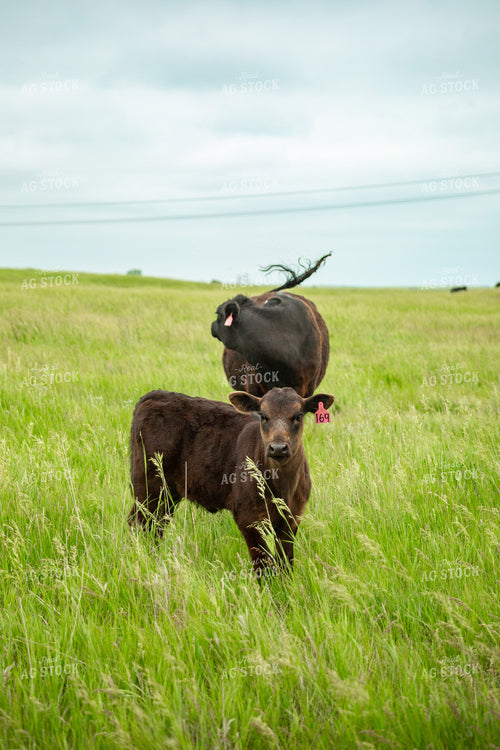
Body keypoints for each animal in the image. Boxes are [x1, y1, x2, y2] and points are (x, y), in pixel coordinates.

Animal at [128, 387, 334, 575]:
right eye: (263, 416)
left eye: (298, 415)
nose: (277, 447)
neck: (284, 487)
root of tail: (156, 394)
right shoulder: (248, 518)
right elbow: (263, 567)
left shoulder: (292, 518)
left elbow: (285, 565)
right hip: (148, 487)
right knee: (138, 524)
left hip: (168, 494)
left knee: (156, 526)